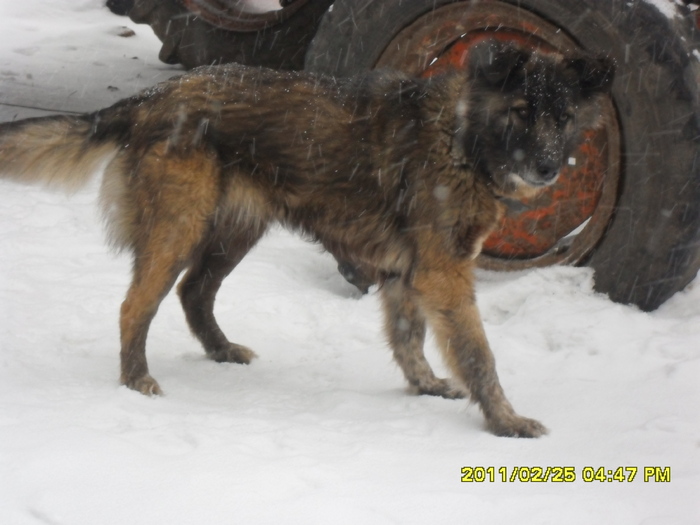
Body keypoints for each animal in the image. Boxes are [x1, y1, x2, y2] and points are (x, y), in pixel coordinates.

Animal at [0, 40, 612, 434]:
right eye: (522, 110)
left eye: (562, 117)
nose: (548, 167)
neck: (461, 135)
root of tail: (153, 95)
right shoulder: (445, 274)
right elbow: (480, 356)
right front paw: (505, 420)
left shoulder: (407, 274)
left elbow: (409, 339)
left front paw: (425, 386)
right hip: (180, 228)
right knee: (136, 306)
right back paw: (137, 381)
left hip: (234, 230)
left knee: (193, 292)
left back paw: (221, 350)